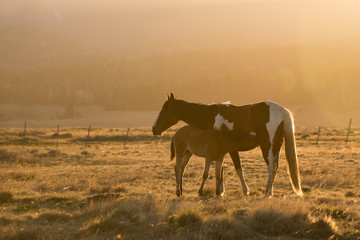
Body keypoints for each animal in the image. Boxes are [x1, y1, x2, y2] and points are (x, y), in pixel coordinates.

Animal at [153, 93, 302, 196]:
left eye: (165, 109)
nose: (154, 129)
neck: (209, 115)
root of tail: (281, 110)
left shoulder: (229, 150)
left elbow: (236, 169)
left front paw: (243, 191)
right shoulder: (222, 151)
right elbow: (222, 170)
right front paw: (221, 191)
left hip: (267, 147)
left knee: (271, 167)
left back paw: (267, 192)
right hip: (276, 147)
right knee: (275, 168)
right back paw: (270, 191)